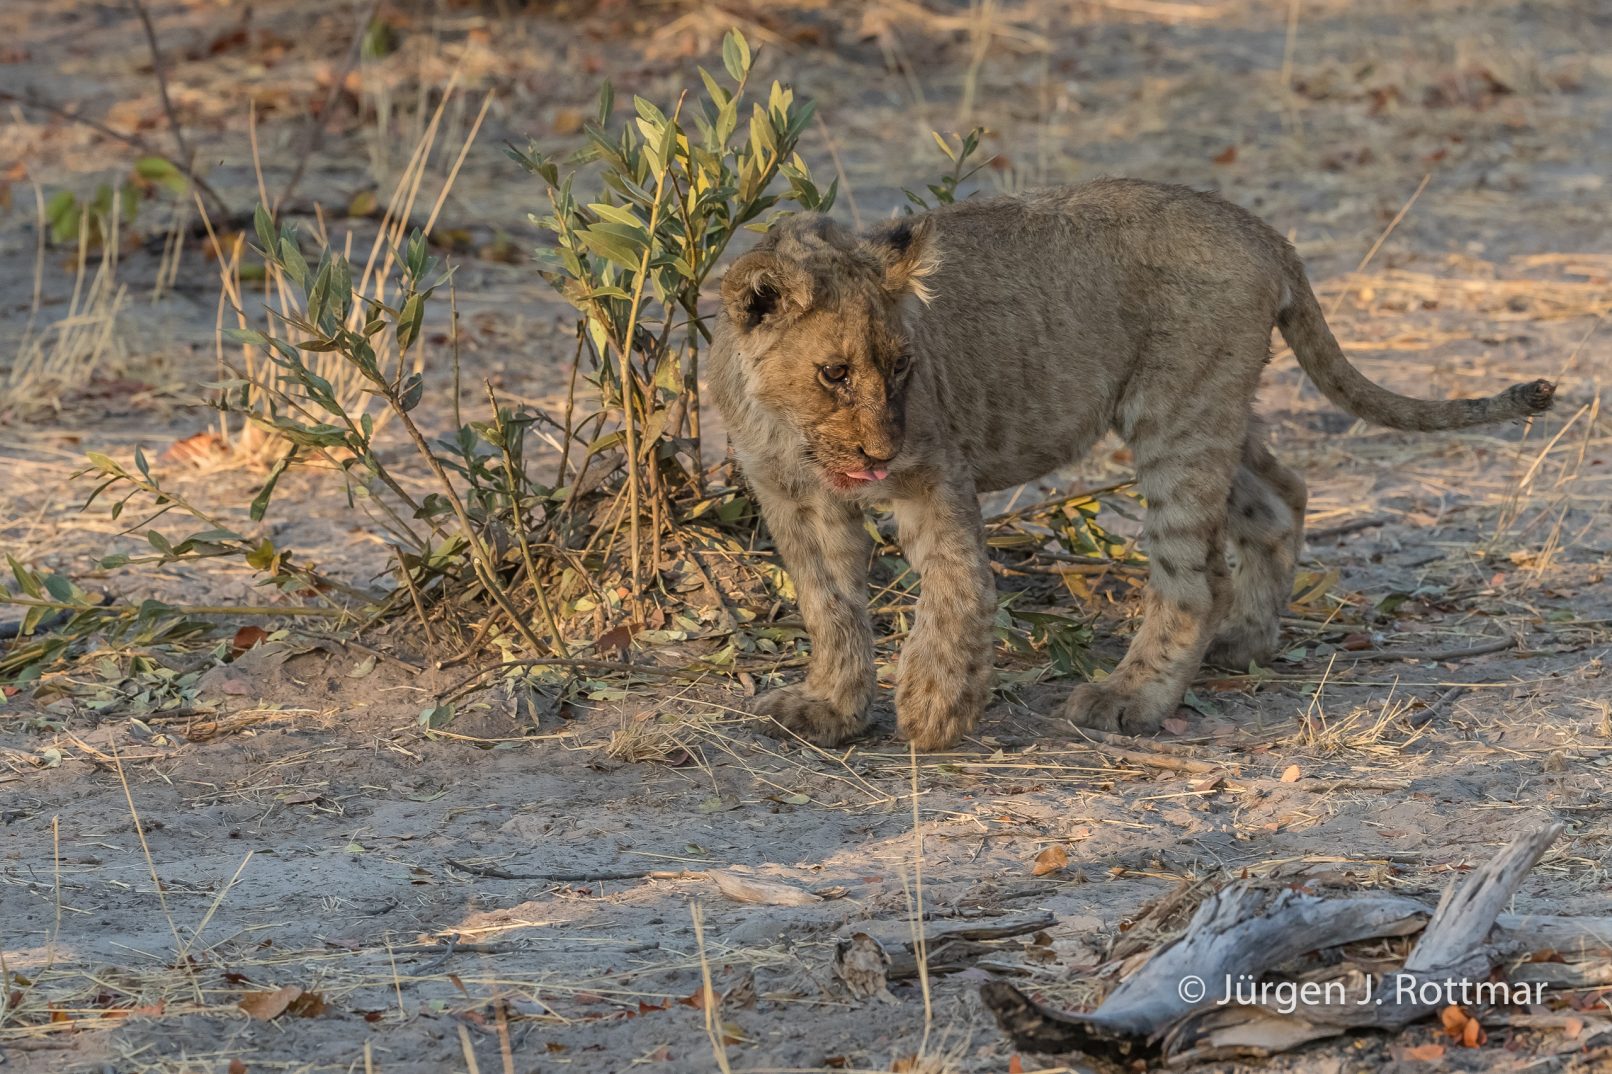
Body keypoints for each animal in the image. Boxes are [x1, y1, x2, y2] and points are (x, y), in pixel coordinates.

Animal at [709, 180, 1554, 750]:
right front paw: (831, 707)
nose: (881, 451)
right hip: (1212, 409)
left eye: (903, 364)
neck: (788, 428)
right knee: (1281, 496)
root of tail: (1260, 231)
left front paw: (934, 706)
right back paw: (1245, 641)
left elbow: (957, 586)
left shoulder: (932, 470)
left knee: (1194, 577)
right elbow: (828, 603)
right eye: (835, 373)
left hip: (1174, 417)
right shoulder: (791, 498)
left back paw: (1132, 698)